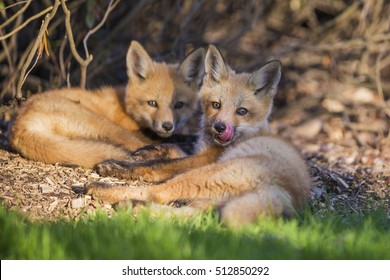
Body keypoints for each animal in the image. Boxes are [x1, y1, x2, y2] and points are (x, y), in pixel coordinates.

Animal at [85, 44, 310, 226]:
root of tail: (284, 195)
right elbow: (172, 148)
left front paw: (121, 165)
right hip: (207, 205)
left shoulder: (203, 160)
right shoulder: (197, 153)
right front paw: (148, 150)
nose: (220, 127)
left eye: (242, 111)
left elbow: (158, 165)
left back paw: (100, 189)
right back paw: (132, 207)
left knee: (156, 193)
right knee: (182, 215)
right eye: (216, 105)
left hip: (205, 175)